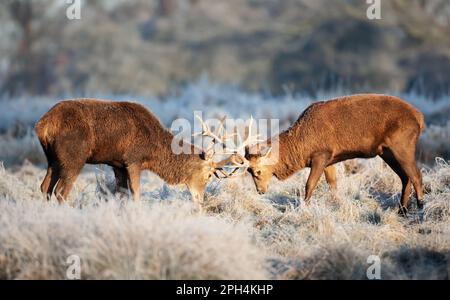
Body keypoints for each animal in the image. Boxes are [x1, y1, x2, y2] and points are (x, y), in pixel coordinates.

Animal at [34, 99, 239, 209]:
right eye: (208, 175)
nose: (200, 201)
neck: (154, 150)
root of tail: (42, 126)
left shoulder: (117, 164)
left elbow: (121, 194)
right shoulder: (133, 160)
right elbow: (136, 194)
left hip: (52, 159)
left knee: (45, 187)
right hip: (74, 157)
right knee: (60, 192)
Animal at [239, 95, 426, 214]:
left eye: (257, 171)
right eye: (248, 171)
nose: (260, 191)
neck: (301, 148)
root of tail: (420, 119)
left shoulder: (321, 155)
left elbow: (310, 184)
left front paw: (303, 208)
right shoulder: (330, 161)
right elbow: (333, 184)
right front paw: (337, 203)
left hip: (402, 145)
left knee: (416, 175)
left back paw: (421, 206)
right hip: (387, 152)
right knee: (405, 177)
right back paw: (402, 210)